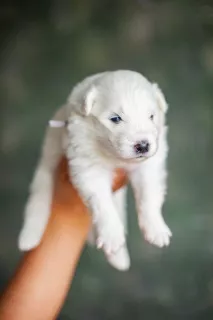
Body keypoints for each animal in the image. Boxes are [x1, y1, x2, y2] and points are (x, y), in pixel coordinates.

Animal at [18, 70, 171, 270]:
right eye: (115, 118)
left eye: (151, 116)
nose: (143, 146)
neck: (112, 155)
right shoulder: (88, 167)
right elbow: (102, 202)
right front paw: (112, 235)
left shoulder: (148, 167)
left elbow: (149, 196)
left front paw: (156, 228)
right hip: (47, 164)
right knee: (38, 198)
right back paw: (29, 238)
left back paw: (119, 258)